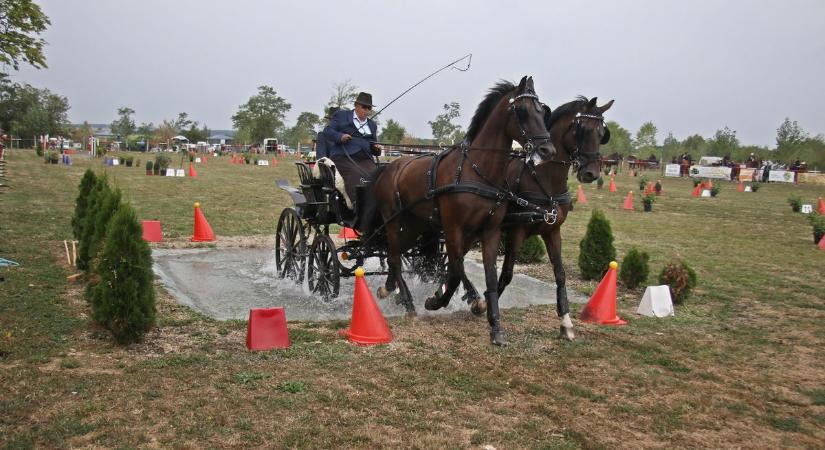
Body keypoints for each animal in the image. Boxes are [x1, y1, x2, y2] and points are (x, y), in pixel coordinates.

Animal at [370, 76, 556, 344]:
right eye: (522, 110)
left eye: (542, 111)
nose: (548, 151)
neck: (477, 171)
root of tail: (390, 166)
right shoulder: (453, 228)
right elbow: (456, 270)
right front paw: (435, 301)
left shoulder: (490, 231)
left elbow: (490, 275)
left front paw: (495, 326)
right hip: (394, 221)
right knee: (394, 254)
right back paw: (408, 303)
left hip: (415, 225)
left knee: (396, 254)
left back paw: (389, 288)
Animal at [496, 96, 612, 340]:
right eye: (582, 129)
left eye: (602, 133)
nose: (591, 173)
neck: (544, 179)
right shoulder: (517, 230)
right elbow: (507, 272)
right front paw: (485, 305)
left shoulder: (552, 231)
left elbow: (560, 274)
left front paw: (566, 322)